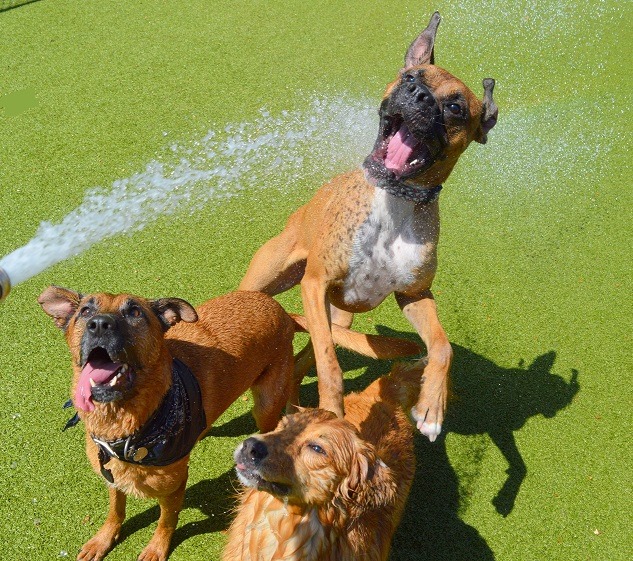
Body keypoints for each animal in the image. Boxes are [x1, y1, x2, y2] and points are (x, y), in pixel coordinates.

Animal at [239, 11, 498, 442]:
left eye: (456, 107)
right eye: (410, 77)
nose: (419, 96)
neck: (395, 204)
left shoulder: (414, 296)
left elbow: (442, 346)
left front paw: (432, 405)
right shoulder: (315, 283)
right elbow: (330, 365)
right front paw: (331, 411)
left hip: (337, 314)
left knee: (303, 358)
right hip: (267, 281)